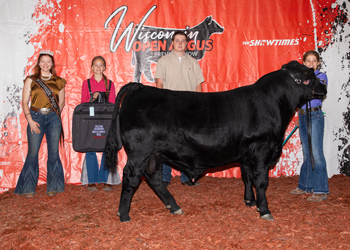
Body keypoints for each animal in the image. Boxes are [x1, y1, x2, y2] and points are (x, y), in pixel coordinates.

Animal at [104, 61, 328, 223]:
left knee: (154, 178)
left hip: (154, 155)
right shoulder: (262, 151)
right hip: (140, 151)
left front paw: (249, 201)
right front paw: (264, 209)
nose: (324, 87)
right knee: (131, 177)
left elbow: (247, 177)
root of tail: (140, 88)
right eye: (310, 76)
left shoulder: (247, 154)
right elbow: (261, 181)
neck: (272, 103)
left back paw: (174, 207)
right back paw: (124, 214)